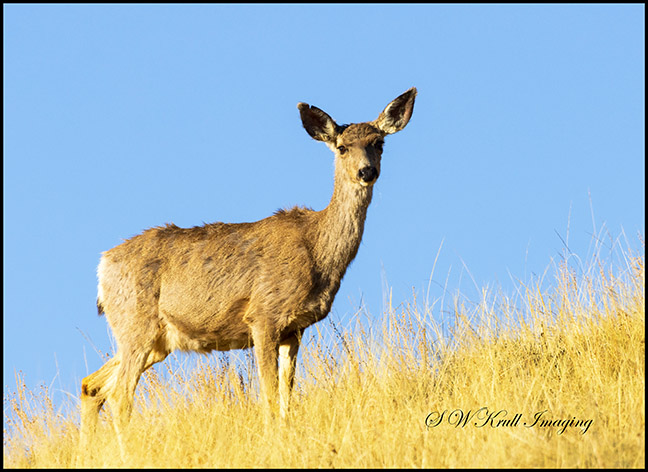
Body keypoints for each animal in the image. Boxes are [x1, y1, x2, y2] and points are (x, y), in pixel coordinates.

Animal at [79, 87, 417, 448]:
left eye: (379, 142)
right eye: (342, 147)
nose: (367, 172)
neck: (318, 251)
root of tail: (103, 265)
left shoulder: (294, 329)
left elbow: (286, 399)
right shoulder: (264, 315)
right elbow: (268, 396)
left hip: (157, 339)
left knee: (92, 385)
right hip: (135, 323)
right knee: (120, 396)